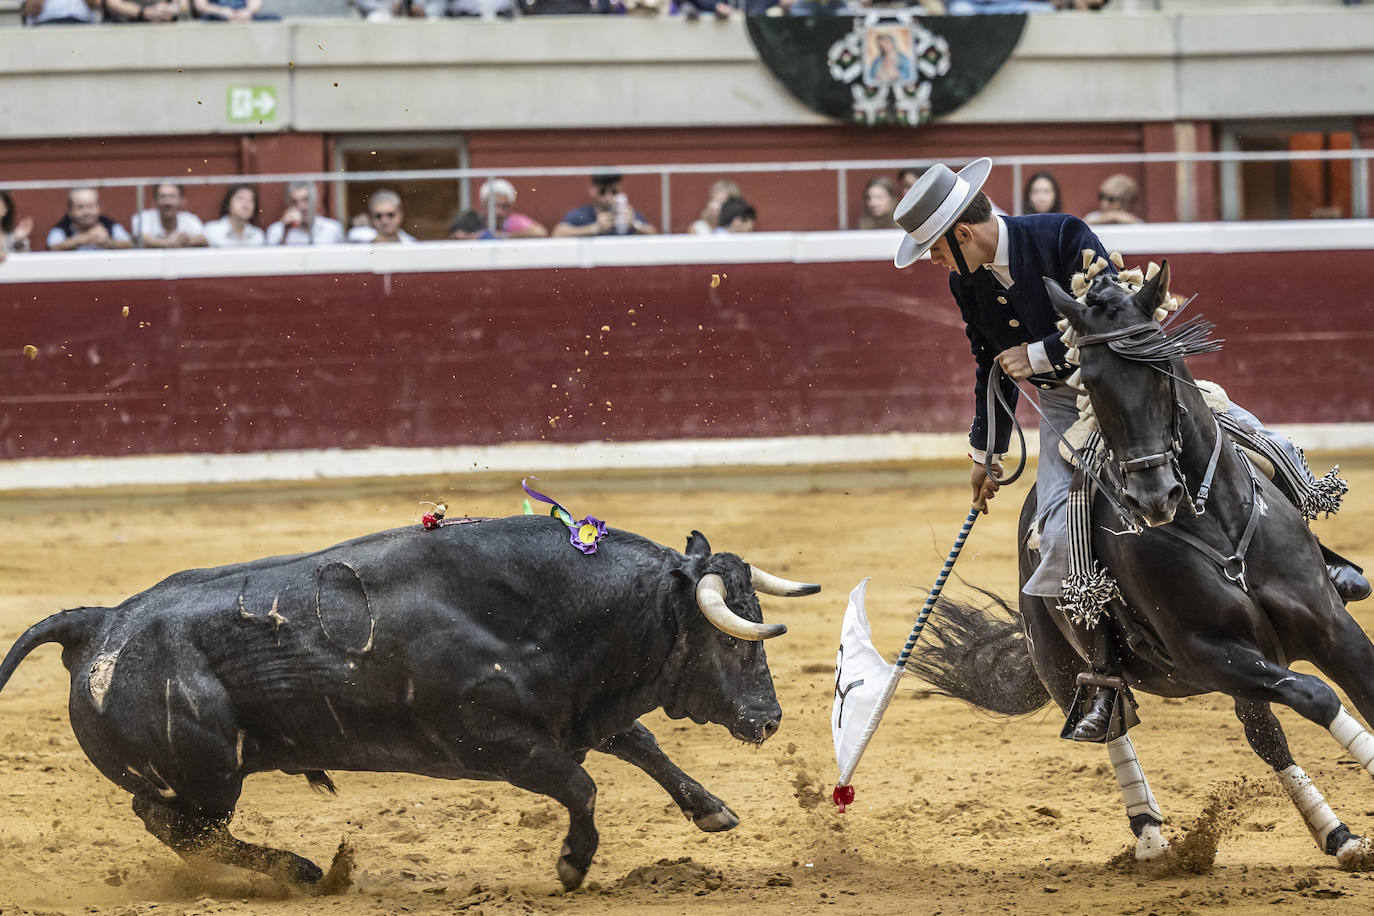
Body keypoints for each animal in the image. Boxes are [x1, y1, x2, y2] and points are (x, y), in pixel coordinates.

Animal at [0, 519, 813, 889]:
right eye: (735, 643)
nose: (767, 720)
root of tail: (98, 622)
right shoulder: (498, 744)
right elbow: (582, 786)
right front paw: (572, 865)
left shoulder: (575, 712)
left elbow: (639, 743)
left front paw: (712, 810)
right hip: (207, 775)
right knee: (174, 824)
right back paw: (304, 871)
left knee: (178, 828)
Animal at [912, 263, 1374, 867]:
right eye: (1092, 382)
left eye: (1161, 368)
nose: (1154, 497)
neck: (1215, 525)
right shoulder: (1207, 652)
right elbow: (1318, 696)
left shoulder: (1332, 628)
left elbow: (1359, 688)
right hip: (1059, 662)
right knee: (1114, 726)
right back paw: (1152, 838)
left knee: (1264, 735)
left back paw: (1337, 835)